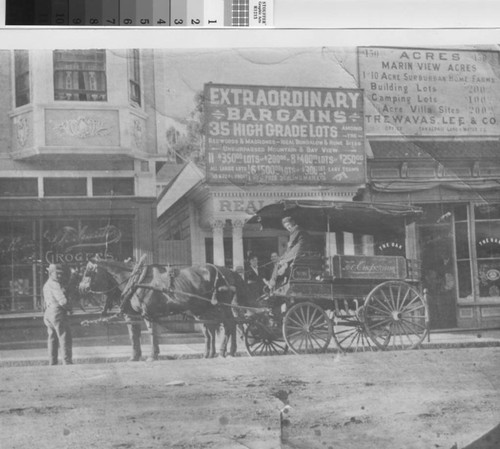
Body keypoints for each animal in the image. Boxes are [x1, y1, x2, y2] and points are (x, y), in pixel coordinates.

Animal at [81, 260, 250, 356]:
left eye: (88, 273)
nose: (80, 288)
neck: (137, 281)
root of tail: (228, 270)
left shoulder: (148, 313)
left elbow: (151, 334)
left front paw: (153, 355)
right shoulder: (138, 315)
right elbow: (135, 334)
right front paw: (137, 356)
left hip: (221, 306)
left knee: (229, 324)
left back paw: (225, 350)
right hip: (205, 309)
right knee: (216, 328)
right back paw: (213, 352)